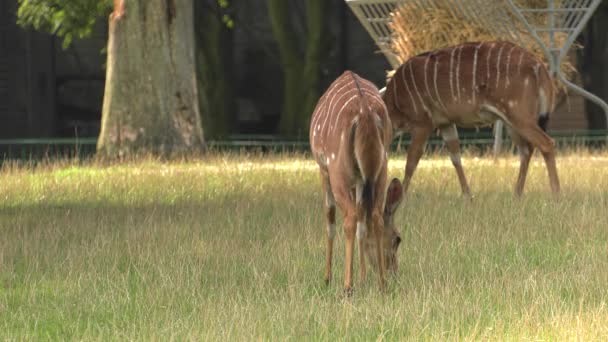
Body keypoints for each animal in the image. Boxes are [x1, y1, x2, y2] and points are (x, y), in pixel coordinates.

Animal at [308, 71, 404, 292]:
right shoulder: (362, 179)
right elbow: (363, 222)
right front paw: (363, 278)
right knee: (374, 215)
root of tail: (365, 113)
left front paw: (328, 278)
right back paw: (381, 285)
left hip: (338, 170)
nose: (395, 272)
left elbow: (330, 219)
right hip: (381, 167)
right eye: (397, 239)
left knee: (348, 217)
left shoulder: (324, 169)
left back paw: (347, 287)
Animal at [384, 41, 560, 196]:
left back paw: (556, 195)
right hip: (511, 120)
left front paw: (402, 196)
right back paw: (517, 195)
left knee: (546, 143)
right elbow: (455, 158)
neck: (394, 101)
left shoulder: (423, 122)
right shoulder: (445, 123)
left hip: (518, 114)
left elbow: (411, 161)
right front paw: (468, 196)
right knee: (526, 150)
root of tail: (538, 66)